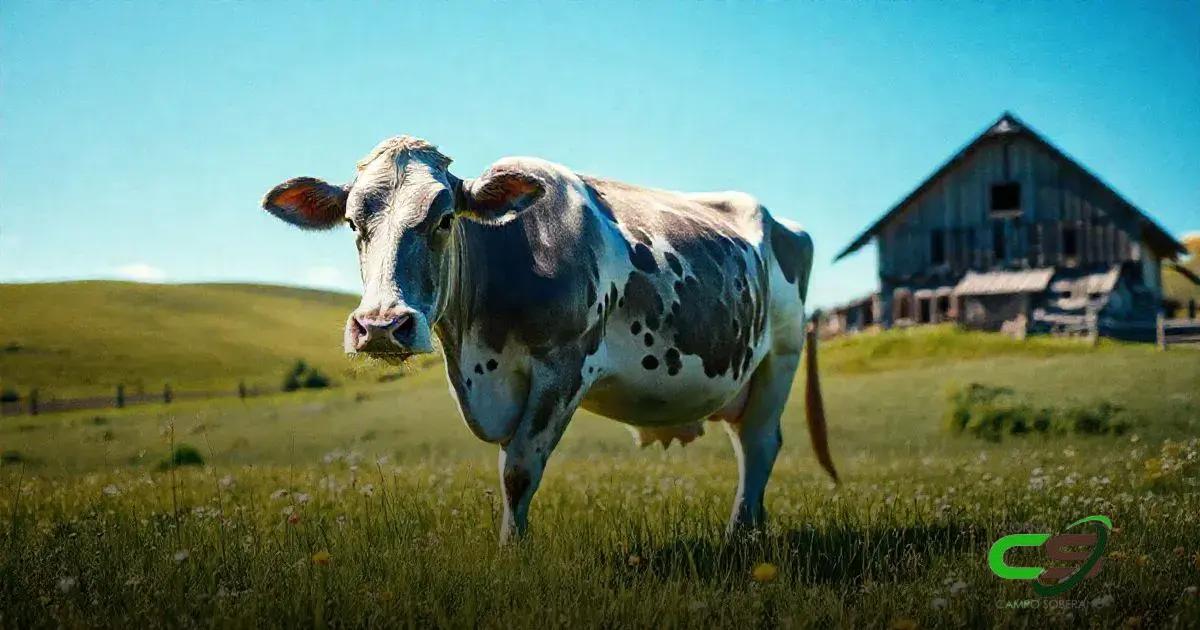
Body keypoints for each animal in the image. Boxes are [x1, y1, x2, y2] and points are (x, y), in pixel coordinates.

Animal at [261, 136, 837, 544]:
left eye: (444, 219)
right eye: (352, 223)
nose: (381, 326)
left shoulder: (563, 368)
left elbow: (519, 471)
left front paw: (511, 553)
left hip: (780, 359)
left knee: (760, 445)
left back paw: (739, 535)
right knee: (746, 443)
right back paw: (750, 529)